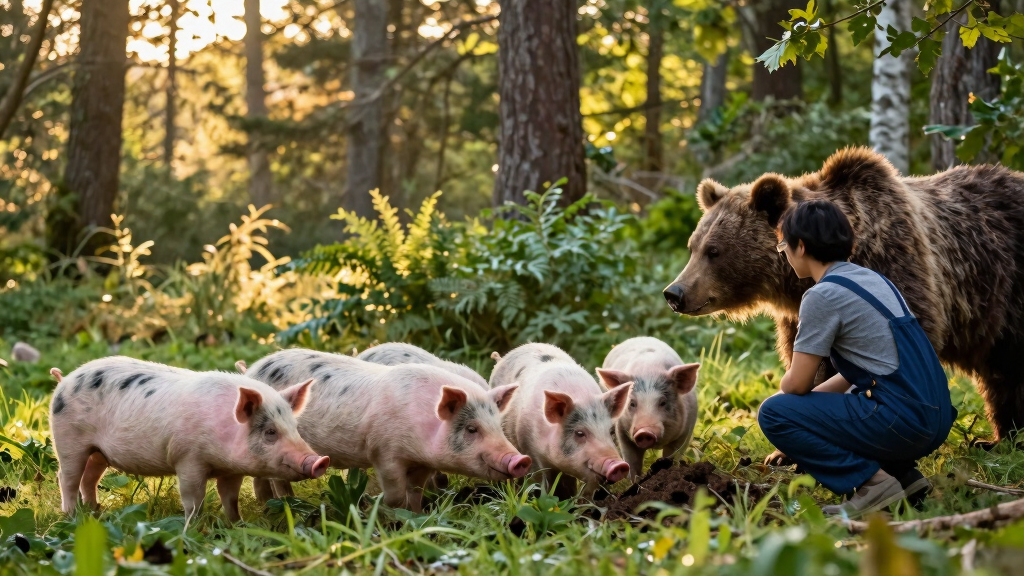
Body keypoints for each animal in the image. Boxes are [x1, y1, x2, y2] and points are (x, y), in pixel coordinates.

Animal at [48, 357, 328, 523]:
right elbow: (194, 499)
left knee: (89, 478)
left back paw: (95, 511)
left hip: (98, 452)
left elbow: (230, 498)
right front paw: (193, 526)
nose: (320, 461)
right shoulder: (188, 459)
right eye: (270, 432)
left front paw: (237, 524)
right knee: (67, 477)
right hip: (68, 440)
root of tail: (65, 380)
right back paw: (72, 516)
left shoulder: (233, 470)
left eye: (295, 428)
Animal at [243, 349, 531, 512]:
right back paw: (287, 506)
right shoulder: (384, 452)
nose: (520, 460)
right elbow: (395, 494)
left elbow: (415, 491)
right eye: (472, 429)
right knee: (278, 478)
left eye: (498, 427)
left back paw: (264, 505)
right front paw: (392, 517)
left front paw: (418, 515)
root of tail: (252, 370)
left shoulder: (422, 462)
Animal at [597, 337, 700, 480]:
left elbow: (673, 456)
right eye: (632, 403)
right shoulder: (622, 432)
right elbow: (632, 462)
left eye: (663, 402)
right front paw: (635, 482)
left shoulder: (686, 431)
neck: (649, 370)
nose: (644, 432)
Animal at [663, 146, 1024, 442]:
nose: (674, 292)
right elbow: (806, 362)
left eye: (714, 251)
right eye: (693, 247)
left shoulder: (899, 265)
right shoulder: (799, 314)